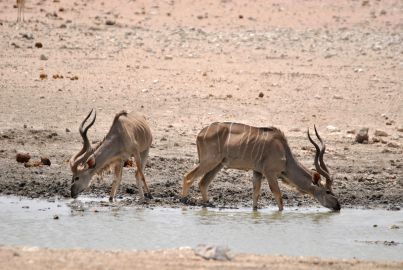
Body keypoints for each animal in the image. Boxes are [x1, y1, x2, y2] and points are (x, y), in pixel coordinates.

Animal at [183, 122, 340, 211]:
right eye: (327, 191)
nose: (338, 206)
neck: (284, 153)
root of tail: (200, 133)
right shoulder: (269, 172)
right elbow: (278, 196)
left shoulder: (257, 172)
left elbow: (255, 195)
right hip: (209, 161)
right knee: (188, 177)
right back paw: (184, 201)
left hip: (218, 164)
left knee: (203, 183)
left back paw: (208, 205)